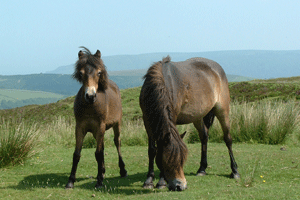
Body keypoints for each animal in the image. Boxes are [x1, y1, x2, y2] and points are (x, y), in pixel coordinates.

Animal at [65, 47, 127, 189]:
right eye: (81, 73)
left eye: (99, 73)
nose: (90, 96)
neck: (90, 107)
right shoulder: (80, 128)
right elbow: (77, 154)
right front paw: (71, 180)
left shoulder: (100, 127)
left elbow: (98, 154)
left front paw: (99, 181)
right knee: (102, 146)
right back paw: (103, 171)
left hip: (116, 125)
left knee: (117, 142)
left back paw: (122, 170)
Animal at [139, 55, 240, 191]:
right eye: (167, 160)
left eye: (182, 160)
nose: (180, 186)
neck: (162, 84)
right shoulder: (148, 121)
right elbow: (152, 150)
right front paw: (149, 180)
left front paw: (161, 182)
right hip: (197, 117)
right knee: (204, 137)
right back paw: (202, 169)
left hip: (222, 110)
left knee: (228, 139)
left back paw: (234, 171)